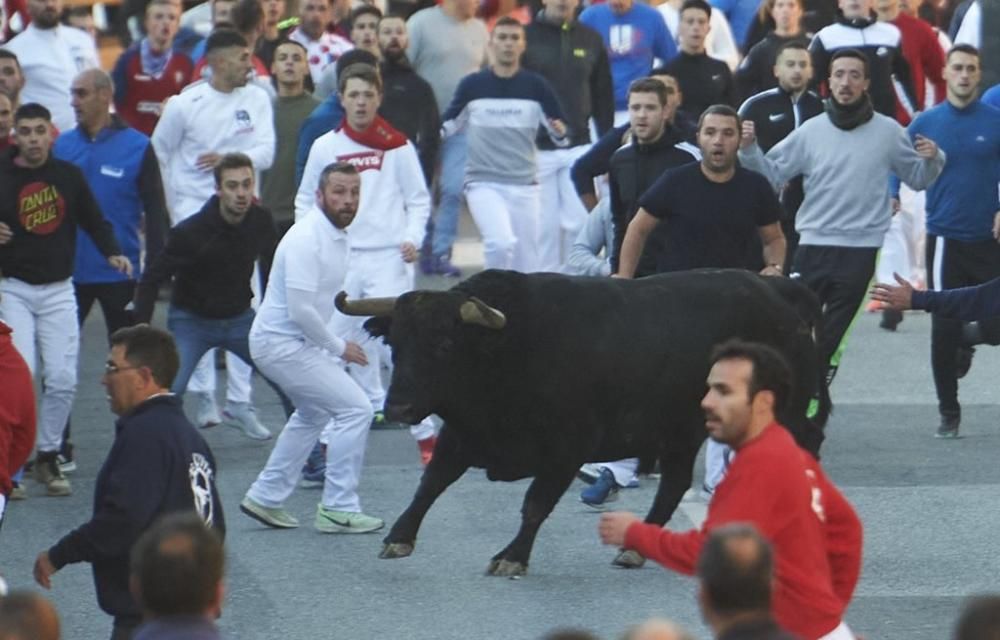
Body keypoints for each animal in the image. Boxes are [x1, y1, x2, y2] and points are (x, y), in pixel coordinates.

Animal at [335, 268, 830, 577]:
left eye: (444, 344)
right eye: (396, 342)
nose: (398, 407)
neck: (508, 347)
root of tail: (776, 290)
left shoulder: (567, 447)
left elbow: (535, 504)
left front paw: (512, 557)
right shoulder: (462, 437)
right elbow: (430, 484)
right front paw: (399, 538)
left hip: (781, 415)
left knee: (802, 451)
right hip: (678, 431)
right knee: (673, 484)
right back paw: (634, 550)